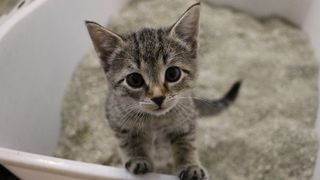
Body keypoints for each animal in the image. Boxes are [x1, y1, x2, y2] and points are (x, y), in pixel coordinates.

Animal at [85, 3, 240, 180]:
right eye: (134, 80)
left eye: (173, 74)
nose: (158, 98)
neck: (155, 121)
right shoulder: (116, 119)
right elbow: (129, 140)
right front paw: (138, 157)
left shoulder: (187, 120)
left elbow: (186, 143)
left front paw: (190, 165)